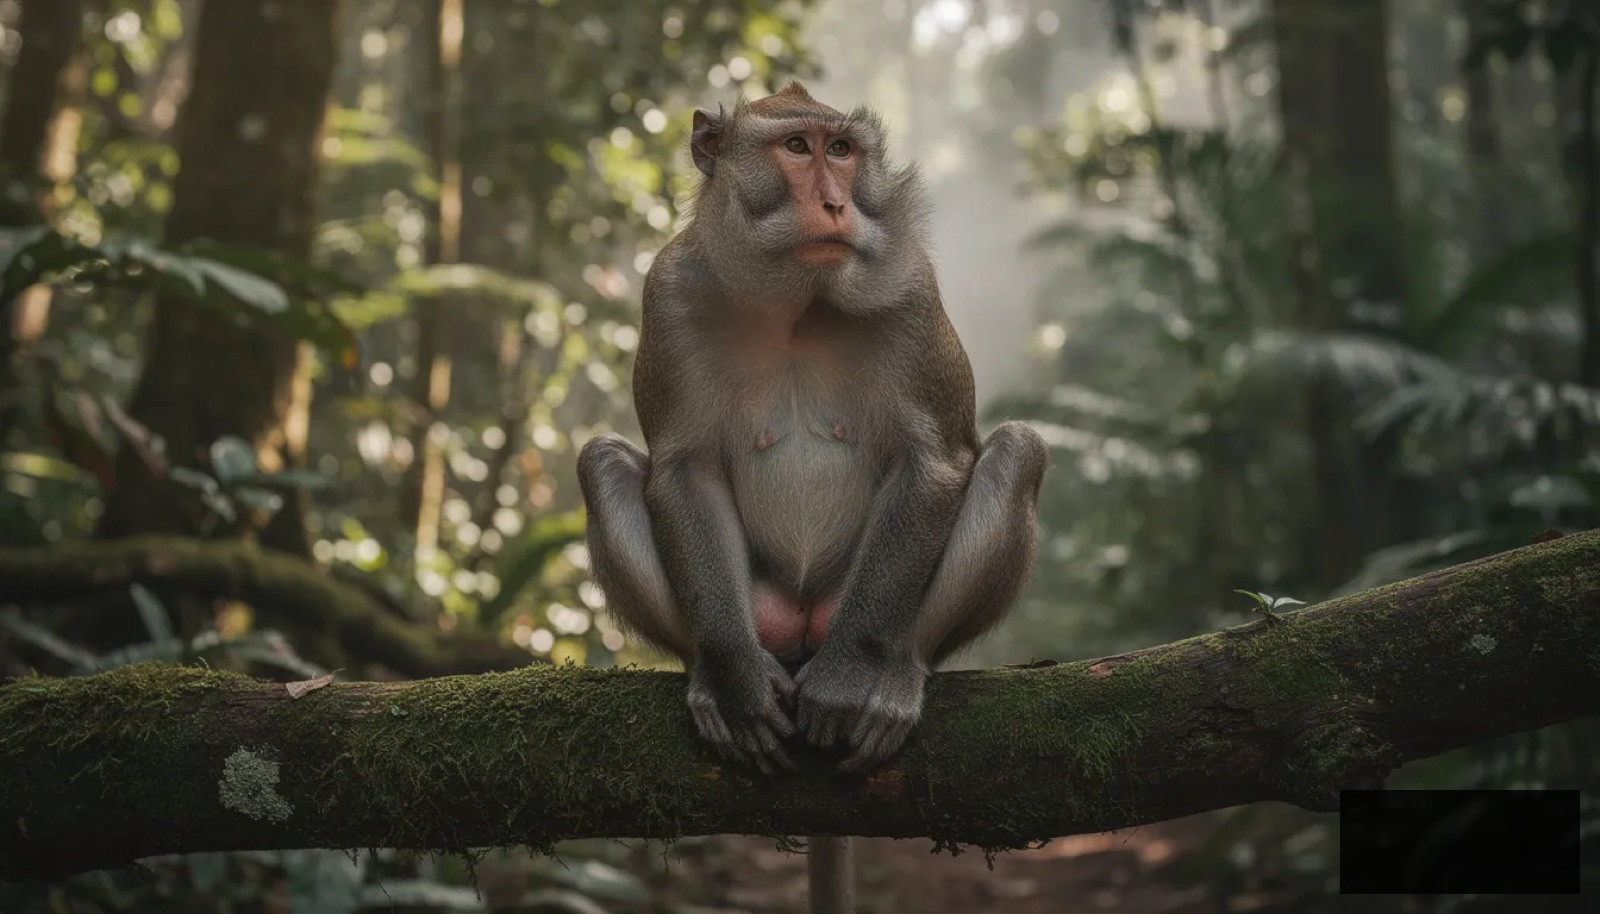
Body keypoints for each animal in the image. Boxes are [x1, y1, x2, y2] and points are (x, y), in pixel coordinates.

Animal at [576, 81, 1048, 913]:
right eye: (798, 148)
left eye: (845, 151)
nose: (835, 203)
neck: (796, 301)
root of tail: (802, 629)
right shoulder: (668, 293)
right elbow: (682, 470)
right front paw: (734, 678)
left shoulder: (912, 289)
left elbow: (933, 462)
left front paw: (848, 678)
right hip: (763, 615)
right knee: (602, 465)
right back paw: (710, 673)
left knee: (1017, 452)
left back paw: (894, 674)